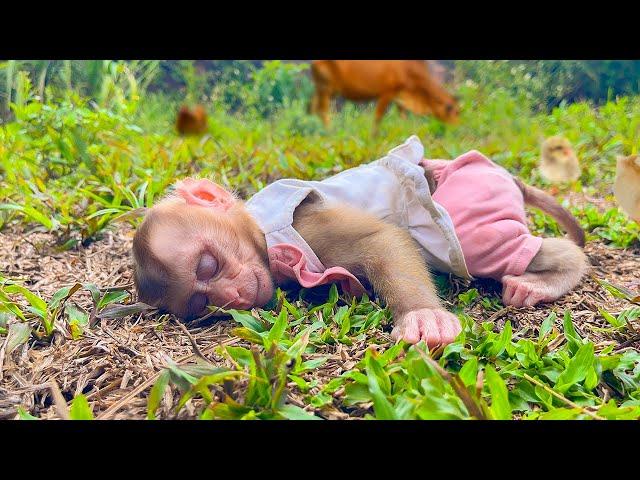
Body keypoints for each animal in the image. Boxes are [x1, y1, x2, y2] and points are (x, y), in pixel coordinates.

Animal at [132, 135, 588, 348]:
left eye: (207, 266)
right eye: (203, 304)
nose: (234, 296)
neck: (261, 232)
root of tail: (504, 175)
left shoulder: (303, 222)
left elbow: (382, 237)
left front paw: (422, 313)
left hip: (476, 202)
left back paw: (549, 276)